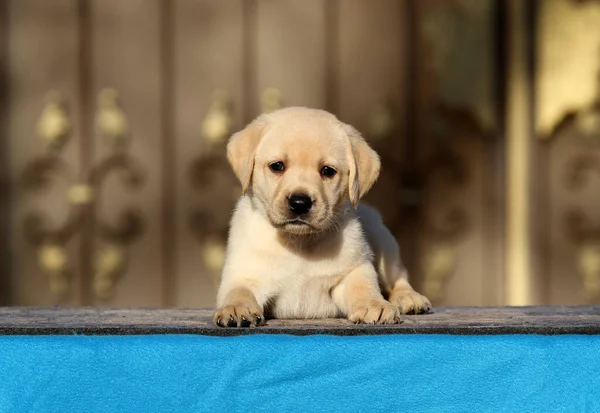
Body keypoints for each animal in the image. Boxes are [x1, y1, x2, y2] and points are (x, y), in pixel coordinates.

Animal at [216, 108, 432, 326]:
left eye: (327, 170)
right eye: (277, 166)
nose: (300, 203)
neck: (299, 243)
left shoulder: (355, 268)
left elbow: (363, 286)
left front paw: (373, 304)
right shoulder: (242, 274)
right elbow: (238, 292)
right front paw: (236, 308)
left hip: (383, 243)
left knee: (398, 278)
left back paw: (409, 298)